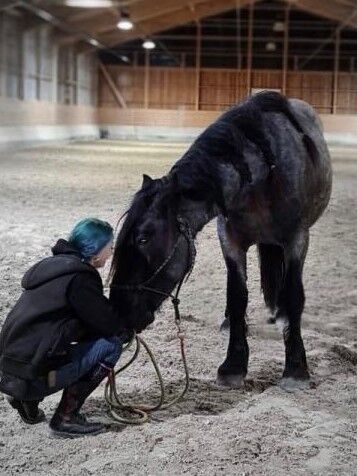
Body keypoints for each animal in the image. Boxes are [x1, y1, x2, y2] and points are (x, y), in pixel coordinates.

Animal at [110, 92, 330, 390]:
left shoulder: (297, 239)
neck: (265, 175)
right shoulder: (230, 240)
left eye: (143, 238)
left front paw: (296, 368)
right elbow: (237, 296)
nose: (117, 313)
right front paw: (233, 365)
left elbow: (294, 295)